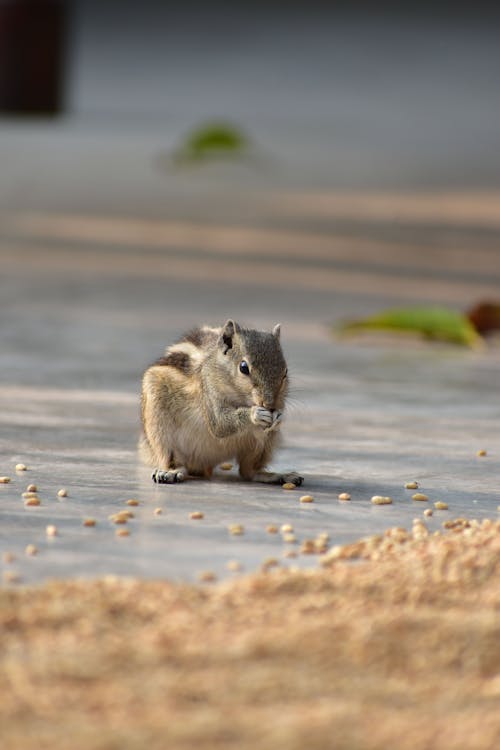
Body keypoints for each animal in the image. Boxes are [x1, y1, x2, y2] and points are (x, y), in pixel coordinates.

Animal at [142, 322, 304, 488]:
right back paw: (170, 472)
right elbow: (220, 424)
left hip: (265, 445)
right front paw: (255, 414)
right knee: (172, 458)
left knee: (249, 472)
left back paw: (277, 475)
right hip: (160, 424)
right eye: (243, 367)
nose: (269, 404)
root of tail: (204, 462)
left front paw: (279, 417)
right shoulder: (209, 390)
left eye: (285, 372)